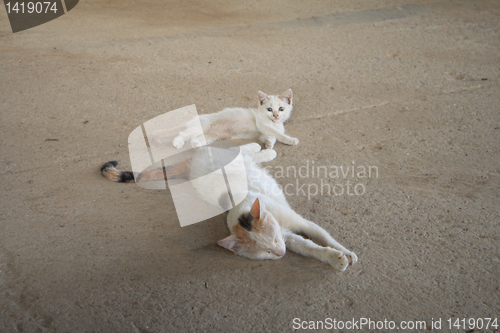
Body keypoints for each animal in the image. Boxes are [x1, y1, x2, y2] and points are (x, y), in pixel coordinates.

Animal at [170, 89, 298, 149]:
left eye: (281, 108)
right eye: (269, 109)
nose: (276, 115)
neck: (274, 123)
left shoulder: (263, 133)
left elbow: (272, 136)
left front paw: (269, 144)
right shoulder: (262, 125)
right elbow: (278, 134)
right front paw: (291, 140)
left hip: (211, 135)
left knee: (194, 139)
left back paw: (197, 145)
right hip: (202, 127)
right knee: (184, 134)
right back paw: (178, 142)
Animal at [189, 143, 358, 270]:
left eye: (275, 240)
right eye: (267, 252)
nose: (281, 253)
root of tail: (195, 156)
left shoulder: (303, 224)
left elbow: (325, 238)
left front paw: (347, 252)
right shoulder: (288, 238)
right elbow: (310, 247)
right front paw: (334, 258)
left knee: (240, 149)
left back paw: (263, 149)